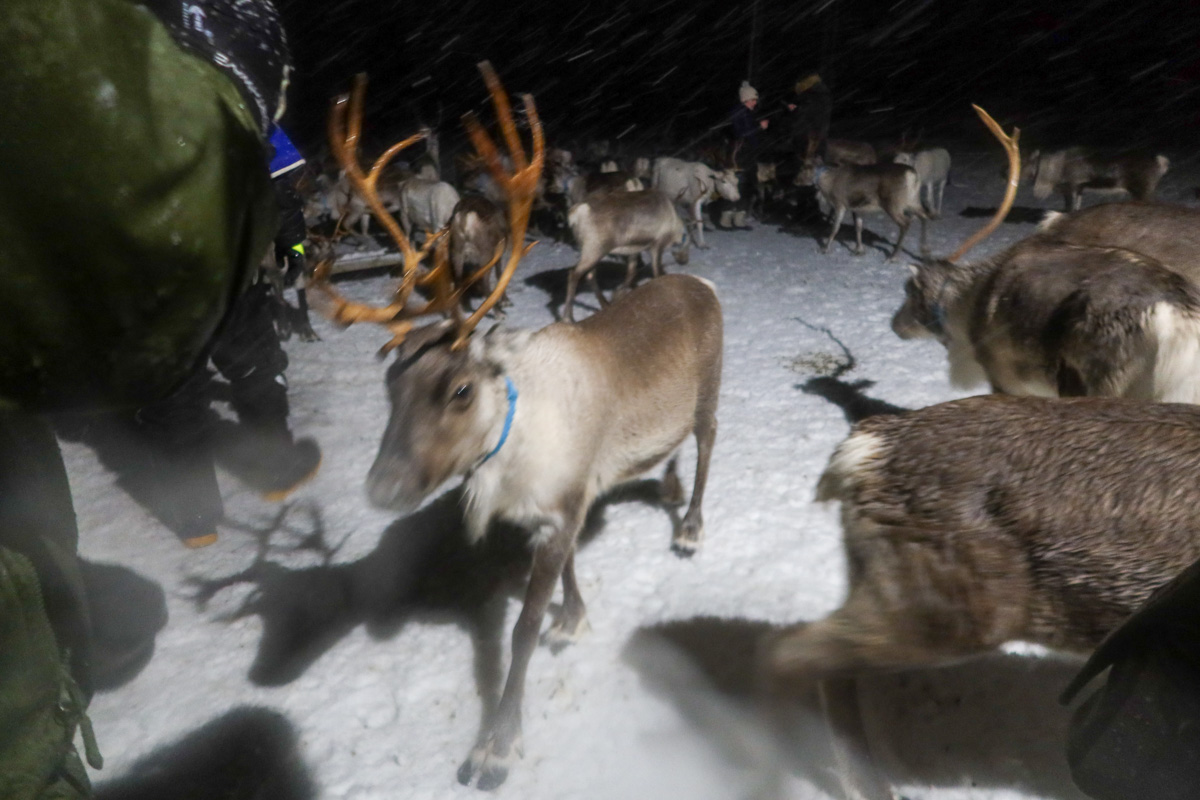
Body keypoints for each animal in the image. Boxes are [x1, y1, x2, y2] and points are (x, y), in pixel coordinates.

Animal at [312, 65, 723, 791]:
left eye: (460, 388)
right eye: (390, 383)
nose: (383, 488)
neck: (508, 449)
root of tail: (704, 285)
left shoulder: (560, 507)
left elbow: (522, 629)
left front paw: (496, 747)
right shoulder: (558, 509)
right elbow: (565, 579)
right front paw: (575, 618)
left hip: (710, 390)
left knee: (708, 445)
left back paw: (691, 528)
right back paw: (669, 491)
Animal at [1025, 147, 1169, 211]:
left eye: (1032, 165)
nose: (1026, 179)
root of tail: (1160, 163)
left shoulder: (1070, 187)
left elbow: (1069, 207)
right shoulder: (1079, 188)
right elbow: (1077, 206)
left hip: (1142, 190)